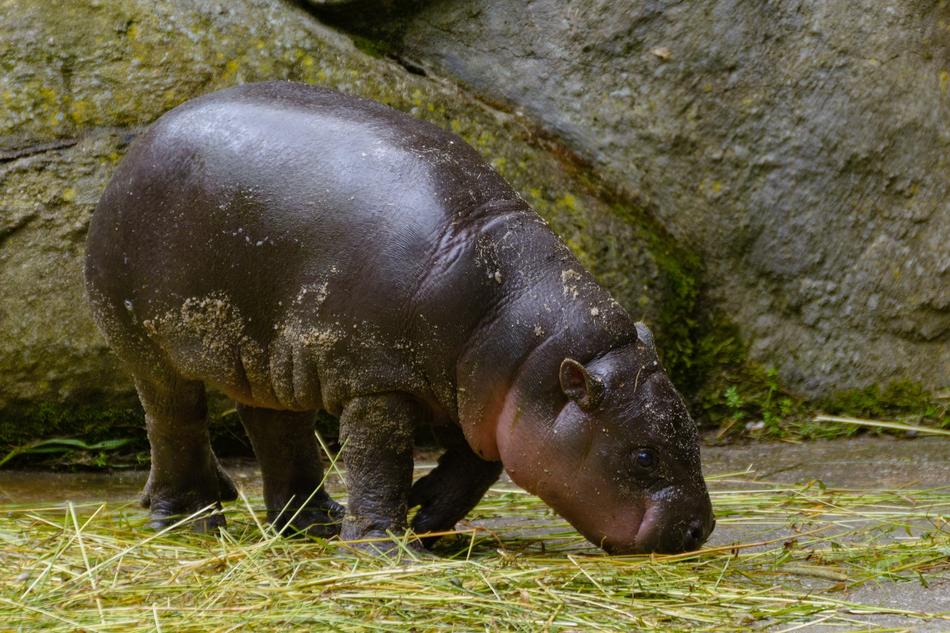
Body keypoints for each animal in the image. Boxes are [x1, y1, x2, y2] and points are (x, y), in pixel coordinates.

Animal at [84, 81, 714, 554]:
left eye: (691, 430)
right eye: (643, 454)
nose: (700, 529)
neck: (528, 339)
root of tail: (147, 135)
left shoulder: (477, 395)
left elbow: (476, 465)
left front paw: (428, 516)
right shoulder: (378, 383)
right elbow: (379, 463)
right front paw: (387, 549)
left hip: (267, 358)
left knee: (278, 430)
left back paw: (314, 523)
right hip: (149, 346)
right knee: (174, 422)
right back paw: (191, 523)